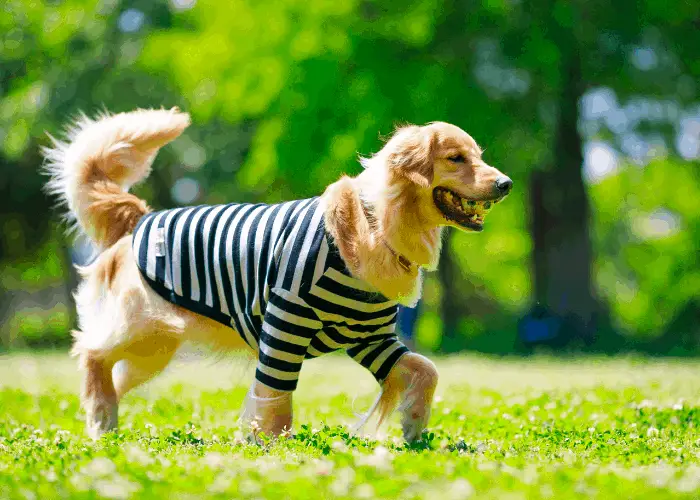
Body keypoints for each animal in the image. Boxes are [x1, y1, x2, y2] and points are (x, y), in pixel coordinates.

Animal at [45, 108, 516, 442]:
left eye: (480, 157)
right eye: (456, 158)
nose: (507, 184)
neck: (376, 223)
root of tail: (140, 217)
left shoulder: (371, 338)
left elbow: (425, 369)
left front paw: (414, 424)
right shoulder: (286, 322)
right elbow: (275, 396)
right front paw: (273, 447)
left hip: (154, 346)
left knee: (115, 374)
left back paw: (105, 418)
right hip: (138, 322)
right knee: (90, 352)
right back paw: (101, 417)